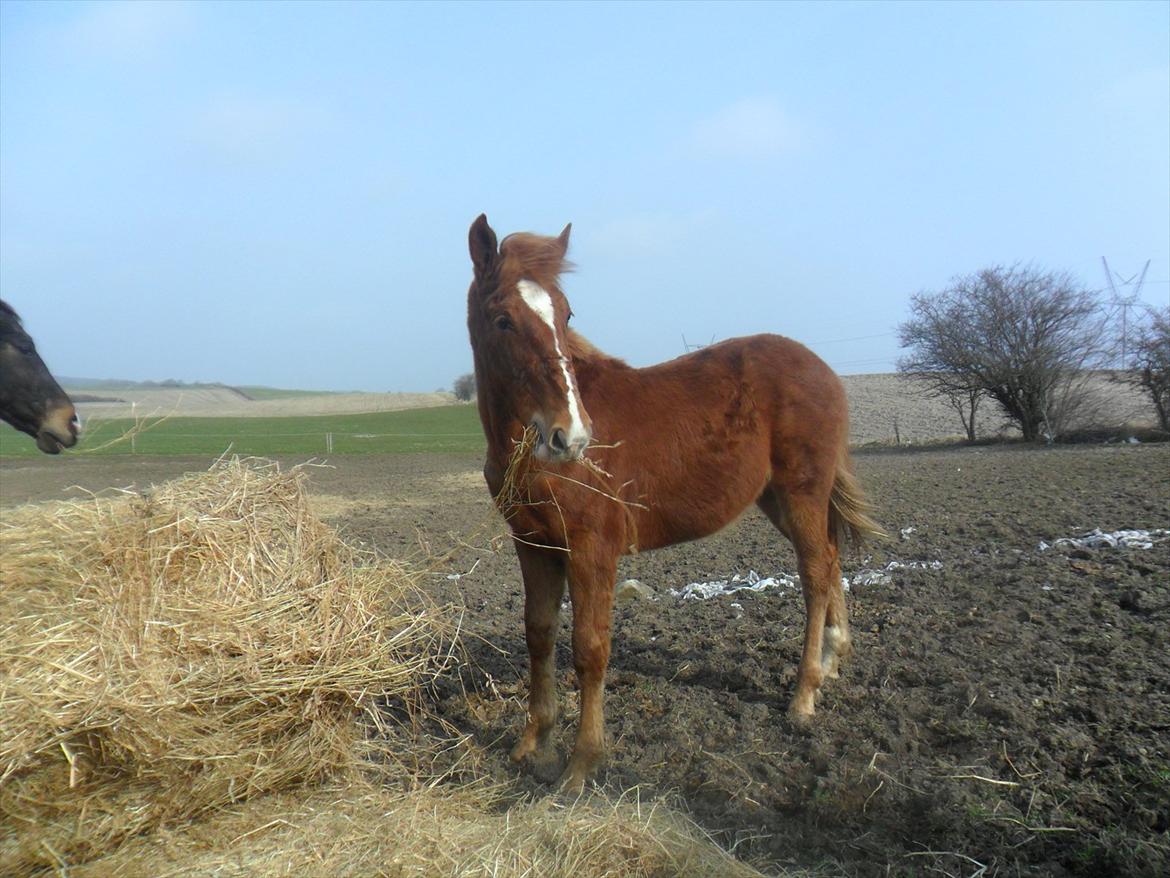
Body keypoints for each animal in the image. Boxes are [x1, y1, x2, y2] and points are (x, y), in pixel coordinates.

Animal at [465, 216, 879, 796]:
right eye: (502, 319)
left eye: (567, 314)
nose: (571, 435)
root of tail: (823, 369)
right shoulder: (533, 544)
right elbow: (539, 635)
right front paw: (532, 743)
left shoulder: (593, 549)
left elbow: (590, 647)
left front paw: (581, 764)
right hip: (777, 498)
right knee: (833, 558)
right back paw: (835, 658)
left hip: (802, 492)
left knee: (816, 573)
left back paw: (804, 695)